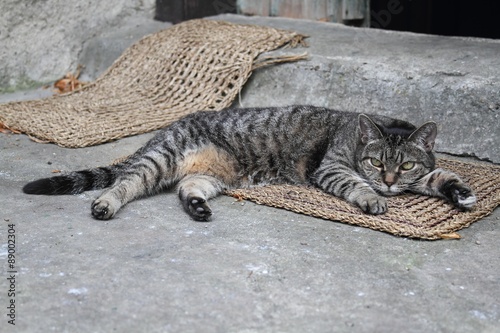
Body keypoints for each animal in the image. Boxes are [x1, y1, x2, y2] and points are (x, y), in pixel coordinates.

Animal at [23, 105, 476, 220]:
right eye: (376, 162)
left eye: (406, 166)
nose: (389, 180)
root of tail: (171, 125)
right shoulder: (332, 167)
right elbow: (355, 184)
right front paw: (373, 198)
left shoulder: (426, 173)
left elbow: (444, 173)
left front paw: (460, 192)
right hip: (161, 160)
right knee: (126, 182)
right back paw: (106, 204)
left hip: (210, 177)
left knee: (187, 189)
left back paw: (198, 207)